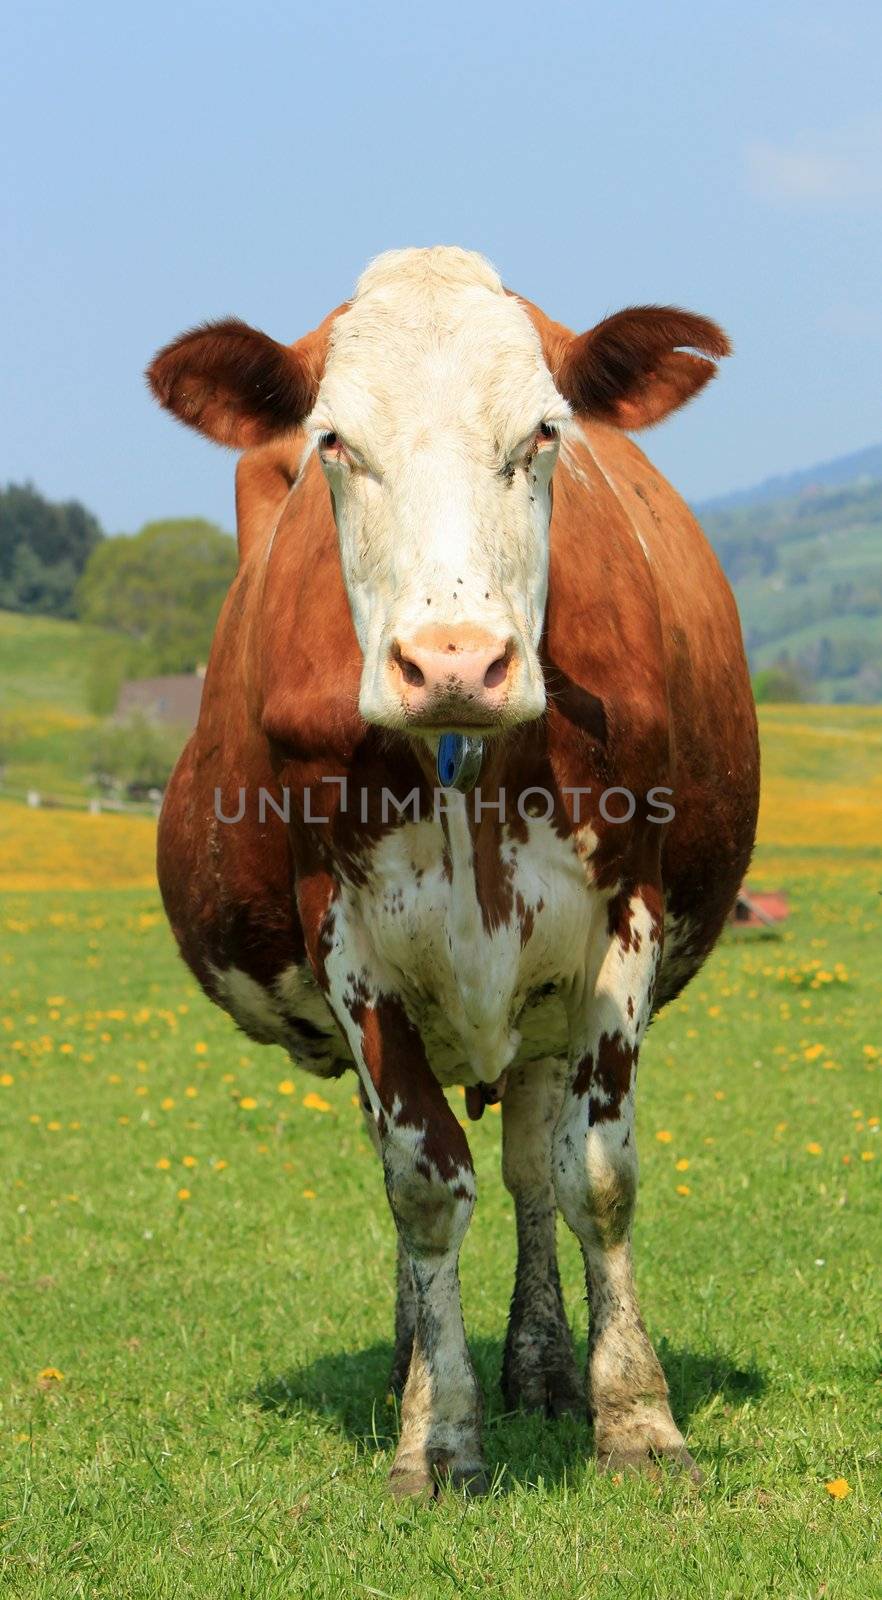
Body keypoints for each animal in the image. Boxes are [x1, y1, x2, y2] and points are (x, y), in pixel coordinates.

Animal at [146, 243, 758, 1491]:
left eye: (544, 433)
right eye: (334, 442)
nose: (455, 661)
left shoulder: (622, 913)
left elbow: (596, 1177)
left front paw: (637, 1414)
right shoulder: (348, 937)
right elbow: (423, 1187)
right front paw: (442, 1432)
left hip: (543, 1007)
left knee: (530, 1166)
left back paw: (546, 1363)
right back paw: (416, 1368)